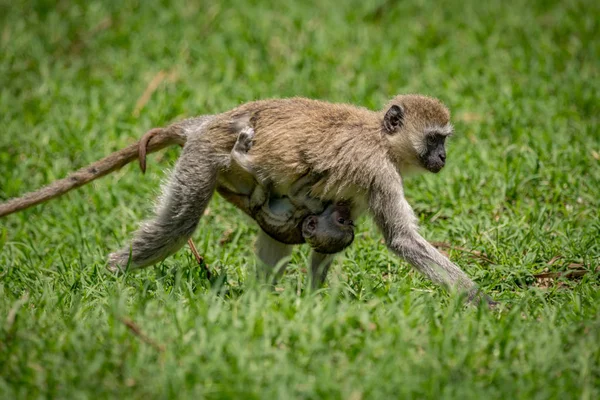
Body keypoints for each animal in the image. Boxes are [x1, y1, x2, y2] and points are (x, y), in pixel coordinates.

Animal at [220, 126, 354, 255]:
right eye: (344, 221)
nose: (345, 208)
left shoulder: (314, 209)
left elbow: (294, 194)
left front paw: (314, 174)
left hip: (257, 195)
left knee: (262, 183)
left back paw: (238, 152)